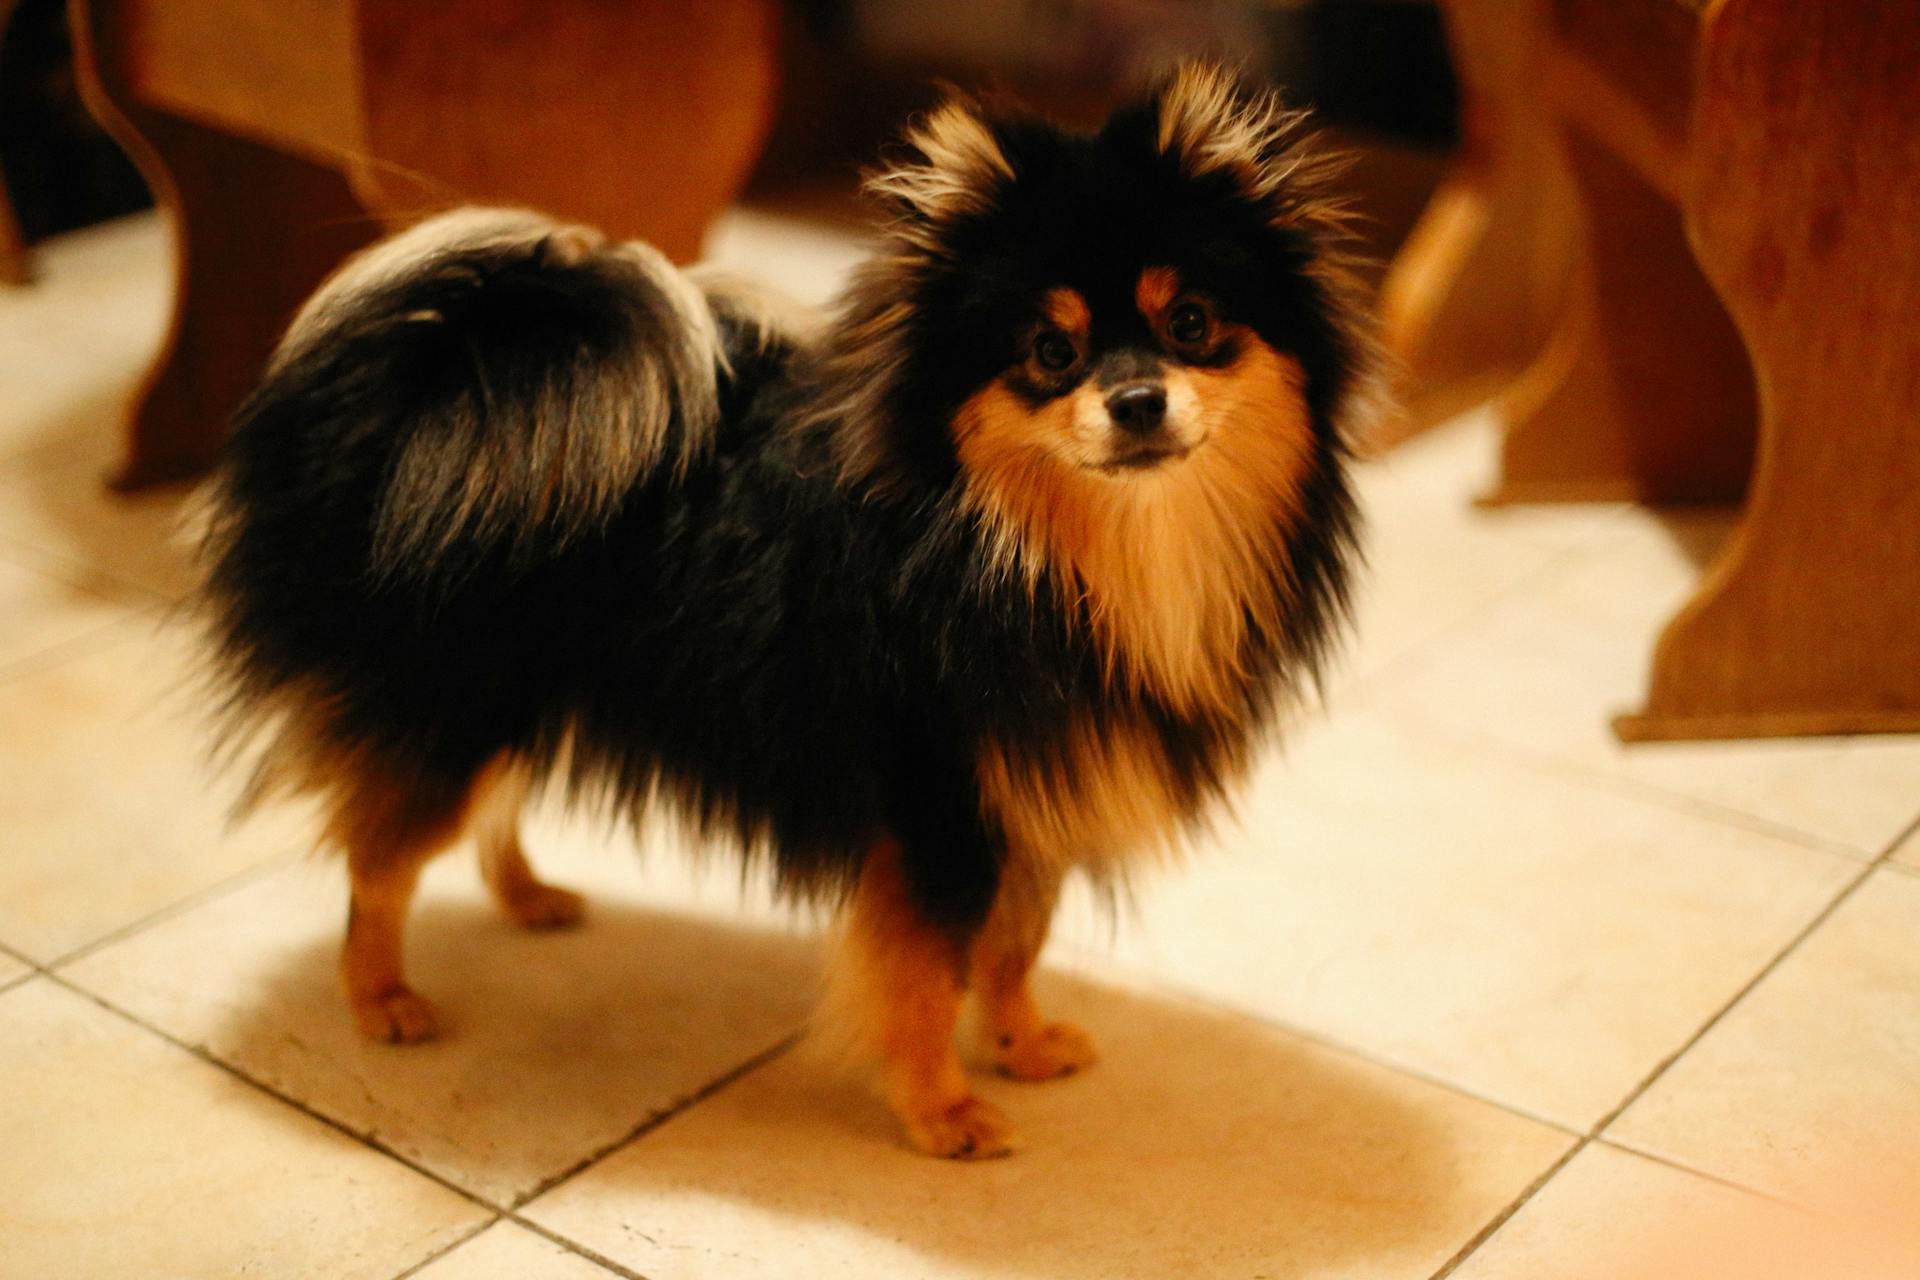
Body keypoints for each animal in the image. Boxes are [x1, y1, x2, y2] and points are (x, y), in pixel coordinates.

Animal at [198, 62, 1382, 1159]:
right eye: (1051, 353)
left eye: (1192, 322)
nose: (1137, 400)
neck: (1036, 545)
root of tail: (427, 381)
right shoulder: (938, 809)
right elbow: (927, 978)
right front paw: (944, 1112)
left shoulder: (1031, 789)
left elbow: (1014, 945)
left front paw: (1023, 1042)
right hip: (455, 707)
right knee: (378, 858)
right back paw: (379, 997)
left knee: (474, 812)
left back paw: (530, 897)